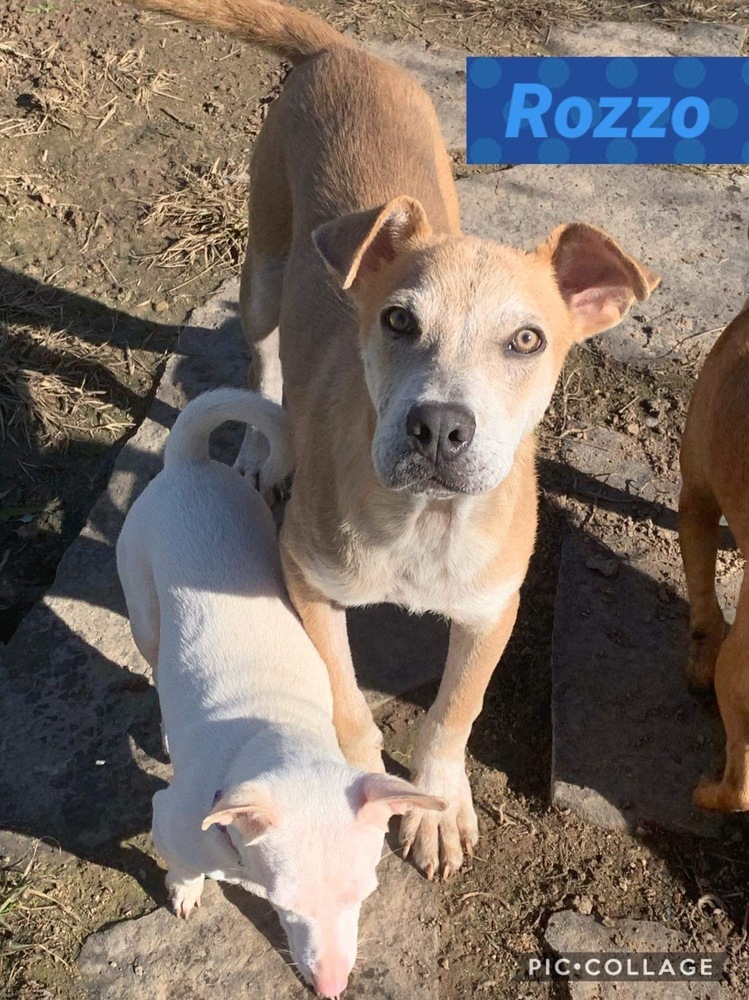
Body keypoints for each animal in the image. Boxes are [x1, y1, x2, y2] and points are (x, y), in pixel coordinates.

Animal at [116, 386, 444, 996]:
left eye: (364, 894)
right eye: (283, 903)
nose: (334, 986)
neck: (271, 733)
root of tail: (189, 462)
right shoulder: (168, 818)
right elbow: (182, 865)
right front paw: (184, 890)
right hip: (143, 612)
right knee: (152, 660)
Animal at [131, 0, 656, 876]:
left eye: (526, 340)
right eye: (398, 321)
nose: (437, 427)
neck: (422, 521)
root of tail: (343, 51)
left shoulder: (492, 609)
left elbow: (453, 711)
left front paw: (438, 804)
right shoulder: (306, 582)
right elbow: (346, 703)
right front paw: (362, 788)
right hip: (264, 262)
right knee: (263, 349)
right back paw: (259, 448)